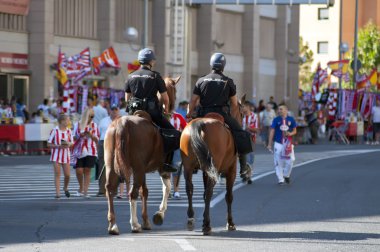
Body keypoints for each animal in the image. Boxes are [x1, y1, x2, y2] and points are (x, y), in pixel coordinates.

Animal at [104, 75, 181, 234]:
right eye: (174, 91)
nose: (171, 109)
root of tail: (122, 123)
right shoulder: (162, 169)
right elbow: (166, 188)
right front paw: (159, 214)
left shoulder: (144, 170)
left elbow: (144, 191)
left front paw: (146, 220)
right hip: (138, 169)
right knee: (131, 193)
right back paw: (134, 224)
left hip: (111, 166)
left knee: (110, 189)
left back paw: (113, 225)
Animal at [179, 95, 245, 236]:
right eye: (242, 113)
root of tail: (201, 124)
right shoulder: (231, 170)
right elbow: (229, 196)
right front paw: (230, 223)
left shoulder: (205, 170)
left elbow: (203, 194)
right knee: (210, 191)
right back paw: (206, 225)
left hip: (188, 167)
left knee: (190, 188)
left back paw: (191, 219)